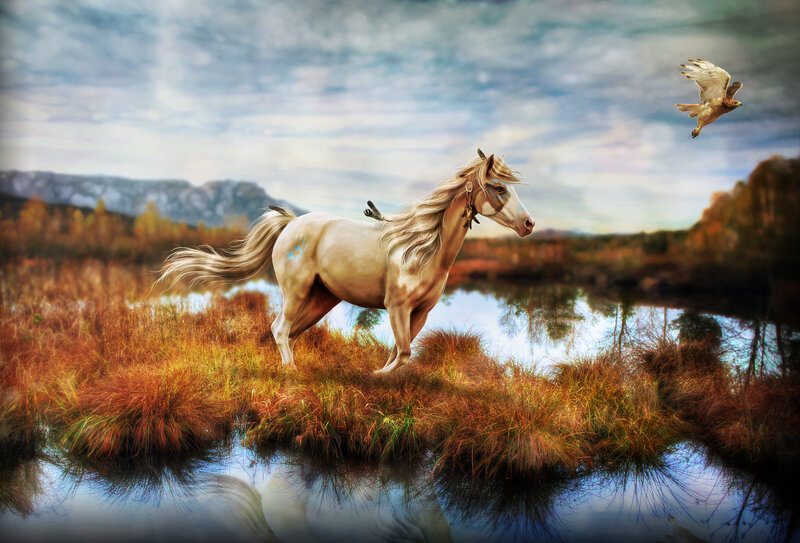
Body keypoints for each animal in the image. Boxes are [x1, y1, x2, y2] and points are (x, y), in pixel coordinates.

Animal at [157, 149, 535, 375]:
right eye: (499, 187)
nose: (529, 224)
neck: (423, 252)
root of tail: (290, 223)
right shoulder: (396, 306)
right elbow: (403, 352)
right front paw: (376, 377)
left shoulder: (421, 312)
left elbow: (400, 351)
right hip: (296, 291)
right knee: (280, 328)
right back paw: (292, 374)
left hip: (323, 298)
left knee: (290, 332)